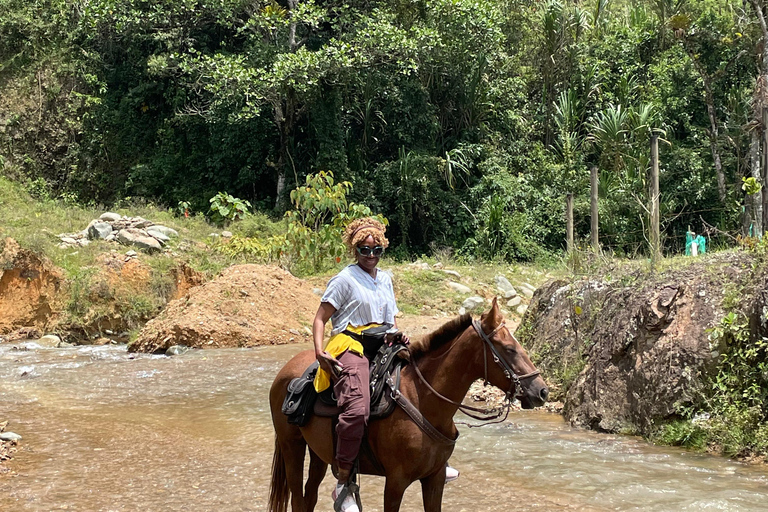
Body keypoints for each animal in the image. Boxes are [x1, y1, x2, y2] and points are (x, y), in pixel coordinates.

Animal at [268, 297, 549, 512]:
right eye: (509, 348)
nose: (542, 391)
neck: (423, 401)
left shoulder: (435, 479)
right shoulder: (396, 482)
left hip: (319, 452)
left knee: (309, 496)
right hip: (292, 445)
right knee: (298, 498)